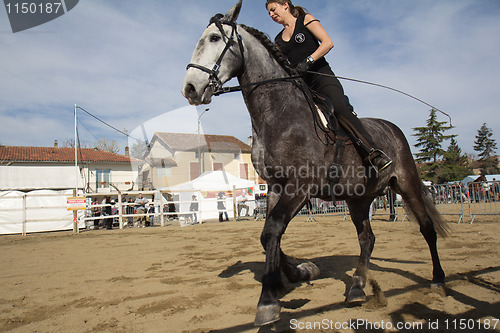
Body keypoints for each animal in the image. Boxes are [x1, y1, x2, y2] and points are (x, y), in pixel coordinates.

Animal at [182, 0, 448, 326]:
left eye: (214, 38)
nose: (190, 88)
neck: (281, 113)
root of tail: (393, 128)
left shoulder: (301, 186)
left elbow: (273, 229)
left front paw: (268, 300)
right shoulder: (276, 187)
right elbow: (268, 234)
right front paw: (298, 273)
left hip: (407, 183)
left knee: (426, 228)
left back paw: (437, 279)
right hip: (359, 198)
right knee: (367, 238)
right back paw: (357, 287)